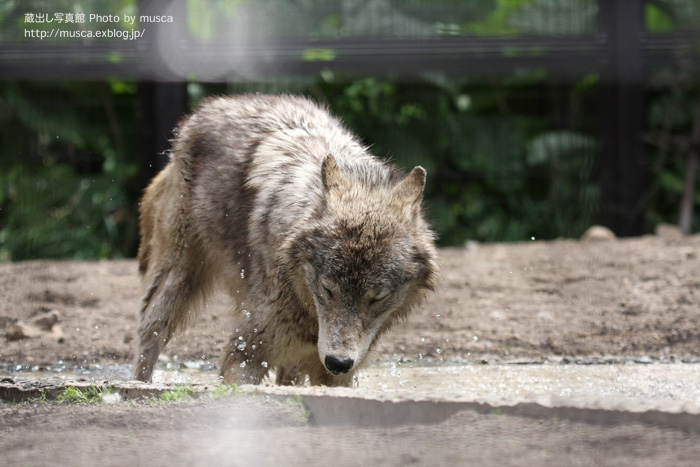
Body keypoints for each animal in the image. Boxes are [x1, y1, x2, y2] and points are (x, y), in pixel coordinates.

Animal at [132, 94, 438, 388]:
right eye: (327, 290)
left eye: (376, 299)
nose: (338, 362)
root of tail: (215, 103)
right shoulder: (244, 352)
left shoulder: (334, 375)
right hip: (176, 281)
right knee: (148, 335)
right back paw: (138, 383)